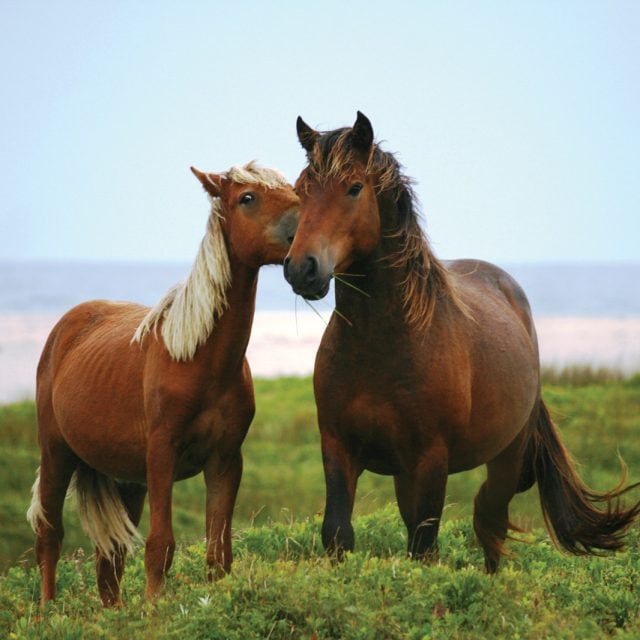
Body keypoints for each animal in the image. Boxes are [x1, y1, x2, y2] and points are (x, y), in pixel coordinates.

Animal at [27, 161, 299, 606]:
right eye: (247, 198)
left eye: (294, 190)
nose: (305, 238)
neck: (199, 359)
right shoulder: (161, 456)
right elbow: (161, 545)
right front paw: (155, 610)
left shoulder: (225, 460)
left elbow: (218, 552)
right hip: (56, 453)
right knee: (50, 537)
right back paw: (46, 613)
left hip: (126, 479)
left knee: (109, 563)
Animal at [283, 111, 640, 572]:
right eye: (299, 189)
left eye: (354, 188)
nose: (301, 269)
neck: (381, 345)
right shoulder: (339, 449)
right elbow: (338, 534)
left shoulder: (431, 460)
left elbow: (424, 545)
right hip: (405, 475)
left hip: (505, 458)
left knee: (490, 524)